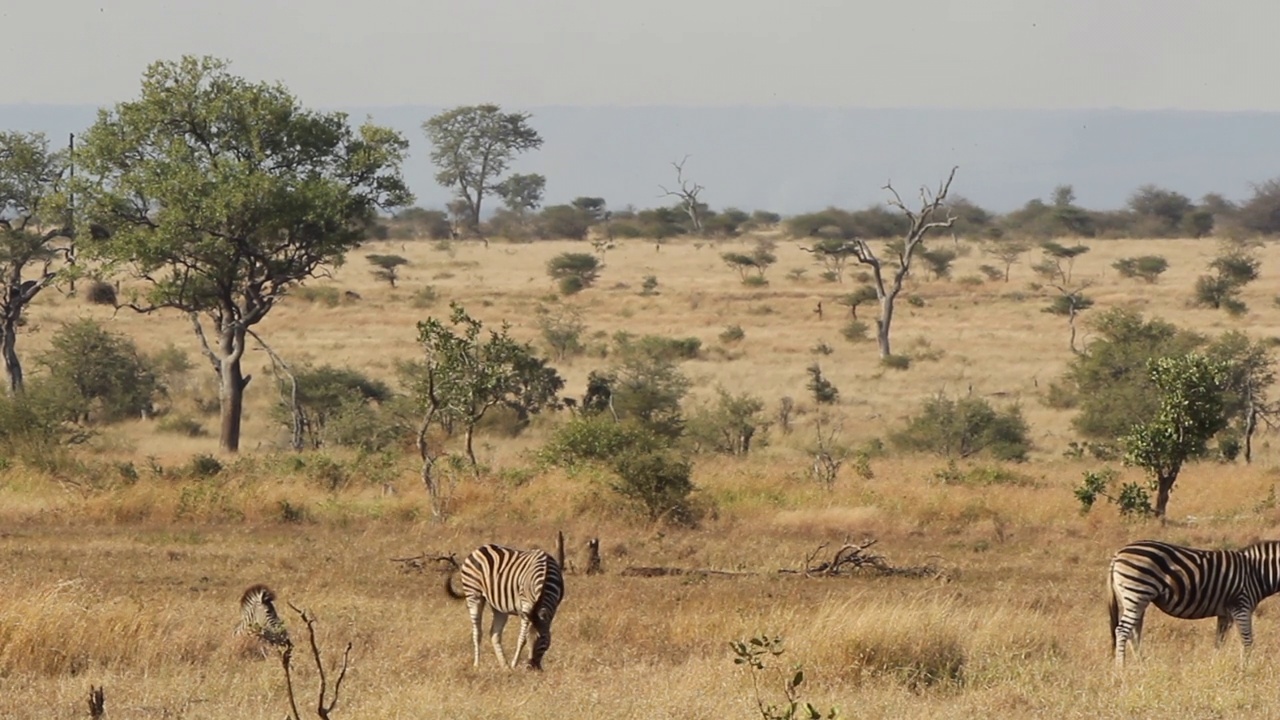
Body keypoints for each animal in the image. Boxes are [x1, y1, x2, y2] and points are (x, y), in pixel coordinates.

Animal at [445, 540, 565, 671]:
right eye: (529, 640)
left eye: (542, 638)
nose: (531, 667)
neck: (545, 575)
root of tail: (479, 549)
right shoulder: (526, 606)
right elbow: (521, 638)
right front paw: (514, 664)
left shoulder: (551, 608)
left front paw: (512, 665)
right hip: (473, 594)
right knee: (477, 632)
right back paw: (477, 664)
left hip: (499, 606)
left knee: (494, 633)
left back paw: (505, 666)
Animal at [1105, 535, 1280, 666]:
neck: (1257, 573)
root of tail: (1117, 554)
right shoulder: (1241, 605)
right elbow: (1248, 640)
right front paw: (1246, 669)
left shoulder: (1226, 613)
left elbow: (1219, 641)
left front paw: (1214, 665)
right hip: (1137, 595)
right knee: (1122, 630)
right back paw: (1121, 669)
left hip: (1132, 599)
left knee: (1134, 632)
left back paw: (1141, 665)